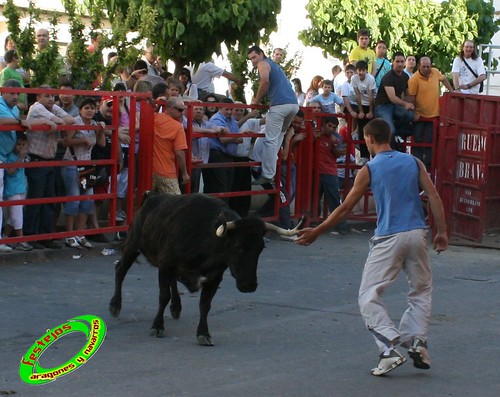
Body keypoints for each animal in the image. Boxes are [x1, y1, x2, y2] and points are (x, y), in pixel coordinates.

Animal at [109, 192, 300, 344]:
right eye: (238, 246)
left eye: (261, 248)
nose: (249, 285)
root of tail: (151, 197)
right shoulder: (165, 264)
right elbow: (163, 296)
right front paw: (157, 326)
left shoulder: (214, 277)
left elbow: (205, 304)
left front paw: (203, 333)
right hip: (133, 244)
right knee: (121, 269)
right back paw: (115, 305)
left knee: (172, 282)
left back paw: (176, 307)